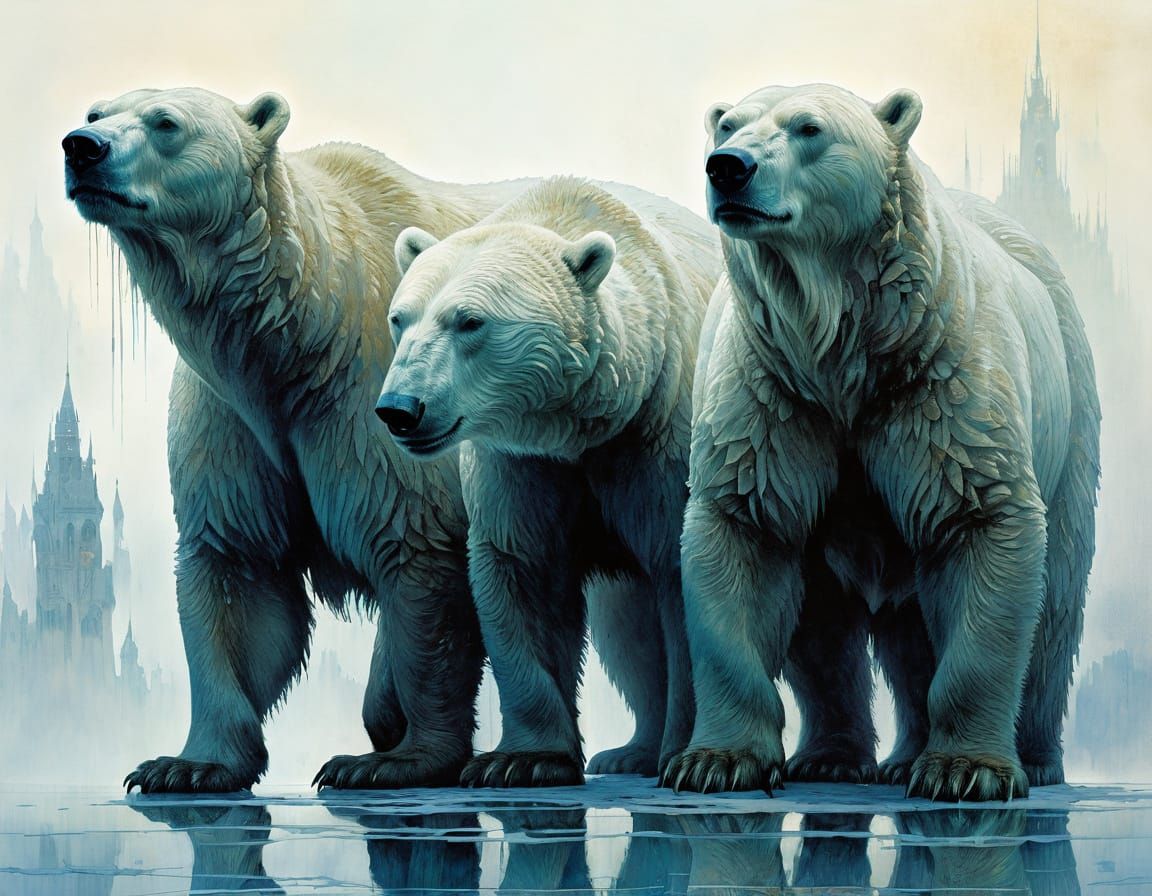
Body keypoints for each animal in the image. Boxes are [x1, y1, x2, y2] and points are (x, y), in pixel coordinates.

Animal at [63, 86, 539, 792]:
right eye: (97, 112)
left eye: (166, 122)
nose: (81, 147)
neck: (303, 327)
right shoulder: (231, 416)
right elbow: (239, 568)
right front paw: (187, 764)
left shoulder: (383, 399)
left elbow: (418, 551)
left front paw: (394, 758)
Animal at [376, 176, 722, 785]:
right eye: (400, 317)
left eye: (469, 320)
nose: (400, 409)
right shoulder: (520, 461)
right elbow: (522, 569)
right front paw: (522, 759)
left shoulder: (658, 436)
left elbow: (679, 572)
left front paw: (683, 752)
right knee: (627, 635)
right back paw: (629, 750)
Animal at [660, 83, 1099, 802]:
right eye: (727, 125)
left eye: (809, 128)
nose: (727, 167)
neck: (844, 347)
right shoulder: (773, 394)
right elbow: (746, 532)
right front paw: (715, 762)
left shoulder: (940, 385)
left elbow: (979, 522)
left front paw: (966, 770)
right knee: (832, 624)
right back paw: (836, 757)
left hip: (1072, 420)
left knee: (1055, 601)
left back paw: (1032, 758)